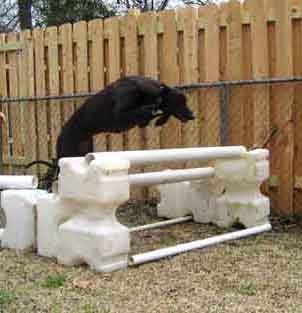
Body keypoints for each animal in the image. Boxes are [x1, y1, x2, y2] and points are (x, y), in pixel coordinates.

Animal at [26, 75, 196, 188]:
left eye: (185, 101)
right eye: (180, 101)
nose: (193, 115)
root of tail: (59, 137)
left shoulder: (140, 122)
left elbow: (156, 112)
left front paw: (161, 118)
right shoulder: (121, 115)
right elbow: (147, 109)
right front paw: (156, 110)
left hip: (80, 152)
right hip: (67, 153)